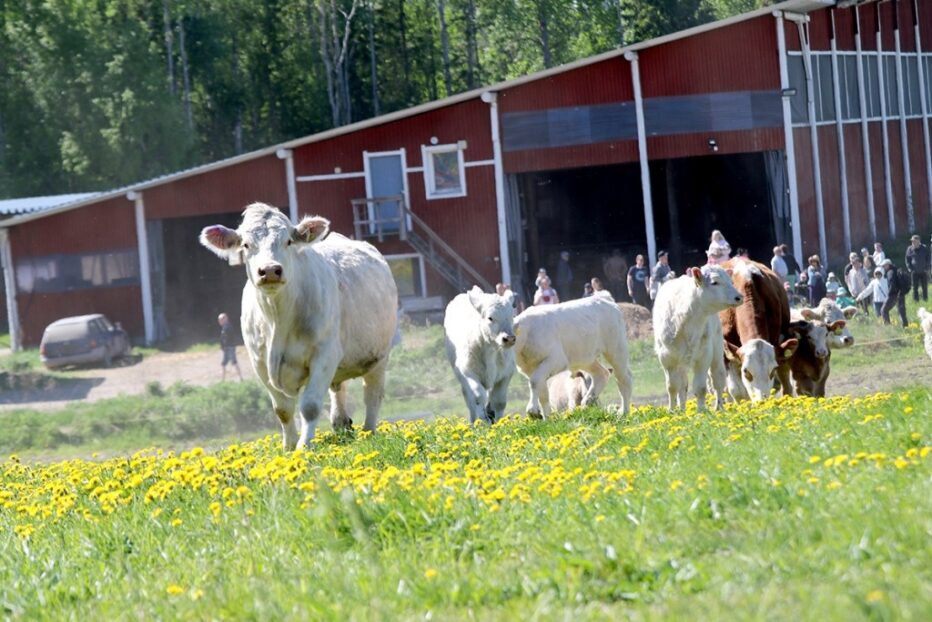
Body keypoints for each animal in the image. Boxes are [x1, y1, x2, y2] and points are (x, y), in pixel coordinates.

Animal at [200, 205, 396, 454]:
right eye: (245, 244)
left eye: (288, 241)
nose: (270, 270)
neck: (278, 320)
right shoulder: (260, 363)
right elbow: (282, 410)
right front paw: (288, 447)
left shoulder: (324, 354)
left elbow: (310, 405)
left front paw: (304, 446)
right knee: (338, 390)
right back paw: (341, 424)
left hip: (379, 356)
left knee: (372, 395)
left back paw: (368, 431)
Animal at [442, 286, 516, 424]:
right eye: (490, 318)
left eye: (511, 316)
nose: (509, 338)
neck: (490, 351)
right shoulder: (468, 372)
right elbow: (478, 396)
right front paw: (483, 420)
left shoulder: (506, 373)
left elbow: (500, 401)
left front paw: (499, 421)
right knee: (470, 401)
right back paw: (473, 422)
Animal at [656, 266, 744, 412]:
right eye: (714, 282)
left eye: (731, 281)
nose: (739, 297)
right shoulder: (666, 359)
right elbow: (672, 387)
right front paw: (672, 411)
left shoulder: (703, 356)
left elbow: (700, 387)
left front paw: (701, 411)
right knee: (682, 386)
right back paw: (682, 409)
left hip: (717, 351)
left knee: (718, 380)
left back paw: (719, 407)